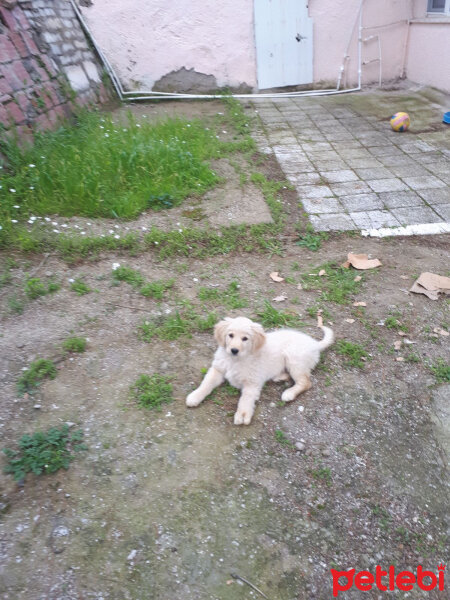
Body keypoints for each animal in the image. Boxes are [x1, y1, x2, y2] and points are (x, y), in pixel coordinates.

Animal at [185, 316, 334, 424]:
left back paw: (289, 393)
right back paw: (280, 377)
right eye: (230, 335)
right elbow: (206, 383)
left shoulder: (252, 383)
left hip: (294, 359)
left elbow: (245, 399)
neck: (235, 360)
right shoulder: (217, 369)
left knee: (306, 382)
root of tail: (314, 344)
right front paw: (195, 396)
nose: (234, 350)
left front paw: (243, 414)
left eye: (245, 338)